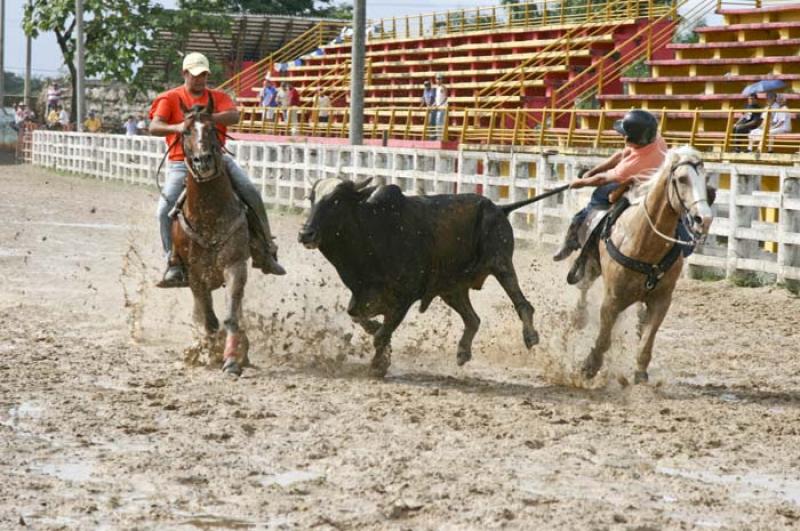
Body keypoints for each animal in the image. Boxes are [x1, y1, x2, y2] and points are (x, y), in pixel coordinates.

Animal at [172, 98, 250, 374]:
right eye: (185, 131)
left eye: (212, 128)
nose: (202, 160)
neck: (209, 215)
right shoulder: (195, 276)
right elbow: (209, 320)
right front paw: (210, 352)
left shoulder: (235, 265)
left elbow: (230, 316)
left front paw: (231, 359)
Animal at [296, 177, 548, 376]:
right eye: (311, 199)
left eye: (336, 200)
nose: (306, 233)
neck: (373, 231)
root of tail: (498, 208)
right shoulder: (362, 294)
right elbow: (359, 317)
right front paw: (376, 336)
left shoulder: (404, 298)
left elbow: (381, 335)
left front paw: (379, 364)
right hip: (452, 289)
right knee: (473, 319)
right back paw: (463, 351)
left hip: (501, 263)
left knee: (523, 305)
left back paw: (530, 337)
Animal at [572, 148, 716, 384]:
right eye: (682, 179)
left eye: (706, 180)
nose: (703, 219)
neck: (643, 241)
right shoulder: (612, 299)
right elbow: (604, 338)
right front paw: (589, 366)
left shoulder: (661, 300)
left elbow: (647, 340)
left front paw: (640, 374)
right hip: (591, 266)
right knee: (583, 287)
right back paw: (579, 316)